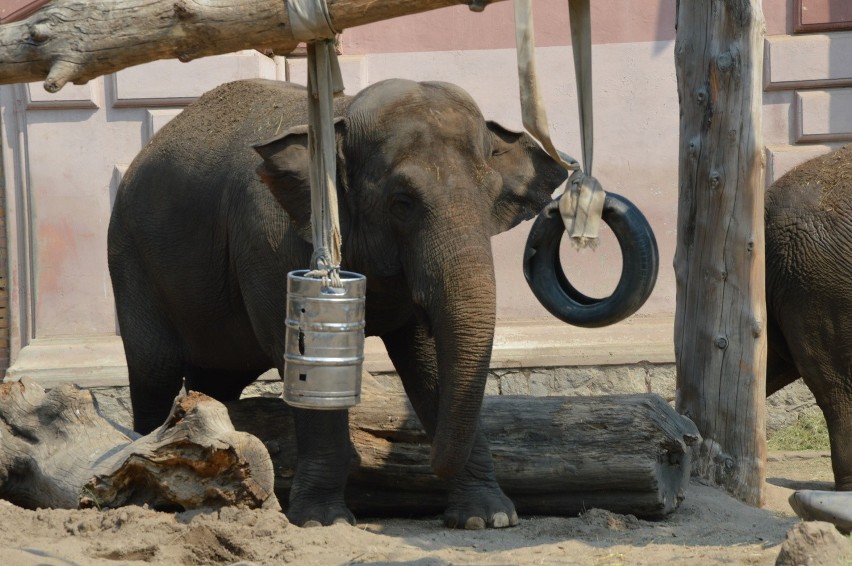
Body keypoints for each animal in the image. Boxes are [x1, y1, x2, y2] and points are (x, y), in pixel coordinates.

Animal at [106, 77, 572, 532]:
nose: (430, 461)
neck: (342, 119)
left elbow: (429, 359)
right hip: (129, 257)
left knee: (217, 377)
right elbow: (307, 361)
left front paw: (488, 518)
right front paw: (321, 520)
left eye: (491, 198)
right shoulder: (269, 242)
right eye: (402, 203)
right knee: (155, 370)